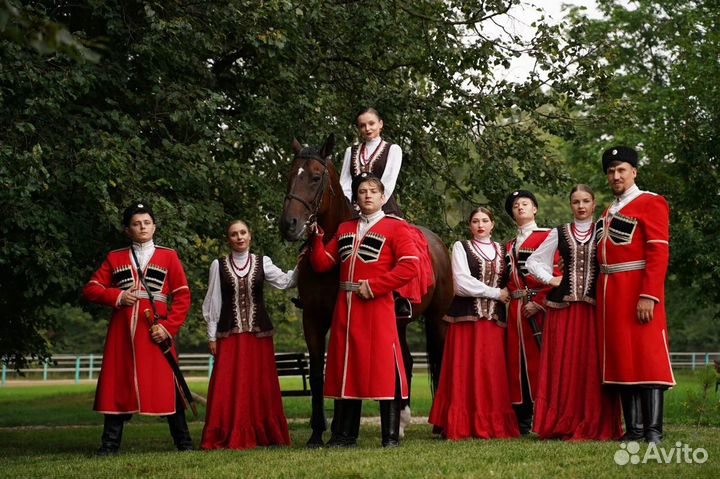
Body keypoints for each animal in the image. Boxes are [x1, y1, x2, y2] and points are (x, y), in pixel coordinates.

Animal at [280, 134, 452, 446]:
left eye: (315, 177)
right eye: (290, 175)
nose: (288, 225)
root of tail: (438, 244)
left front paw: (339, 430)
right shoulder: (311, 318)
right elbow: (318, 373)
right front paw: (317, 434)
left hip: (437, 320)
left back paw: (442, 427)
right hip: (400, 322)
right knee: (405, 361)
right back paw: (402, 423)